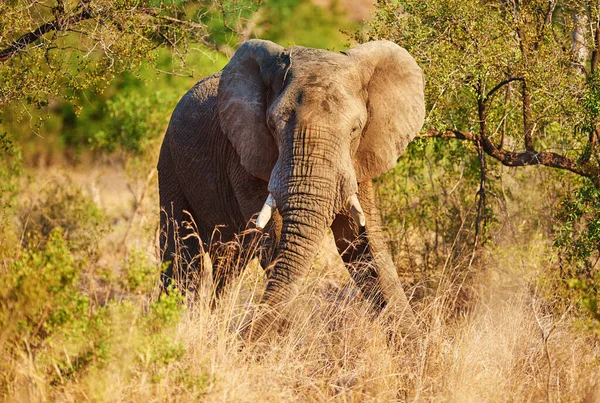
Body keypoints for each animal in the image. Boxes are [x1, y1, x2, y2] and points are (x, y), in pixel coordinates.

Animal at [157, 38, 424, 342]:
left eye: (356, 129)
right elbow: (274, 240)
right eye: (272, 125)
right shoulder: (245, 152)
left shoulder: (358, 159)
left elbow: (361, 244)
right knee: (181, 255)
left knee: (228, 260)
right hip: (170, 160)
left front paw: (414, 347)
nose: (243, 337)